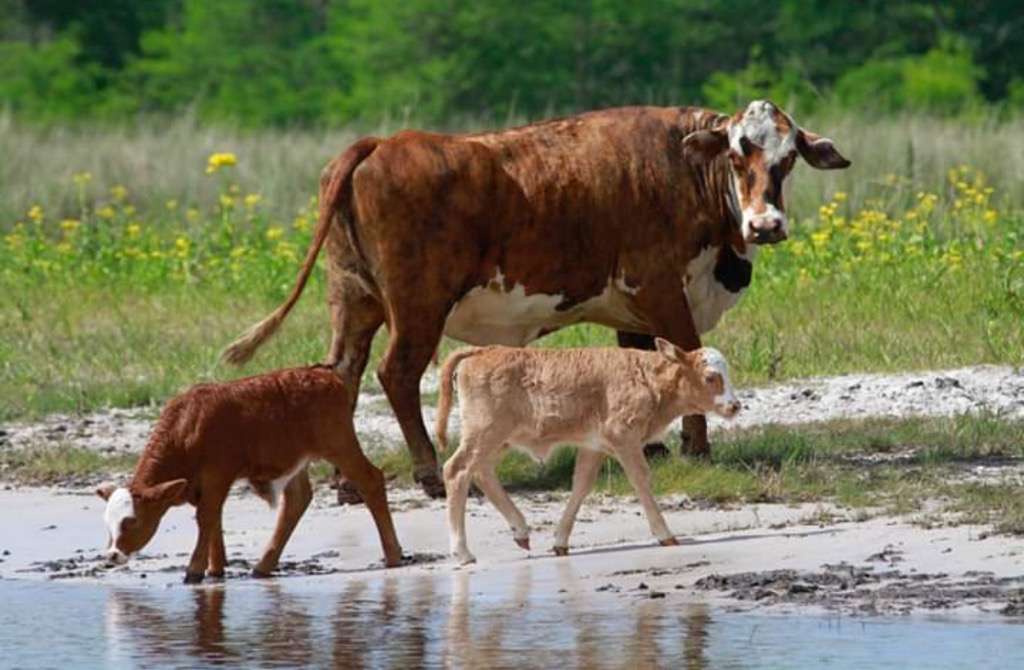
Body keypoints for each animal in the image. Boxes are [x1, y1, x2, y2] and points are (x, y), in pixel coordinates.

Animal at [96, 366, 399, 581]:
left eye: (131, 521)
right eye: (107, 523)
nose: (112, 555)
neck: (188, 425)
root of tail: (322, 374)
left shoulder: (218, 472)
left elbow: (207, 516)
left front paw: (195, 569)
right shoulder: (204, 483)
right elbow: (213, 517)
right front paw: (215, 568)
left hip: (338, 443)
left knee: (370, 480)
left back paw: (393, 554)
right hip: (298, 460)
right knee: (297, 500)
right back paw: (264, 564)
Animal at [222, 99, 847, 497]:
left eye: (788, 158)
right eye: (738, 154)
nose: (766, 225)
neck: (686, 172)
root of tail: (382, 143)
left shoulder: (633, 309)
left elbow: (641, 362)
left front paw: (651, 448)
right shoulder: (663, 290)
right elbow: (686, 357)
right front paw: (696, 447)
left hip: (354, 300)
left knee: (343, 374)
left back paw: (349, 481)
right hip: (417, 306)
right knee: (394, 375)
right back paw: (427, 473)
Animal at [436, 342, 741, 565]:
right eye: (710, 377)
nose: (735, 406)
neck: (647, 377)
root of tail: (483, 350)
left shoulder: (593, 447)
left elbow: (581, 485)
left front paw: (560, 541)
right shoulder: (624, 438)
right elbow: (641, 479)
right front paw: (666, 535)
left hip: (498, 440)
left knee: (482, 472)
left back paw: (520, 531)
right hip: (485, 433)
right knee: (456, 470)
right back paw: (462, 552)